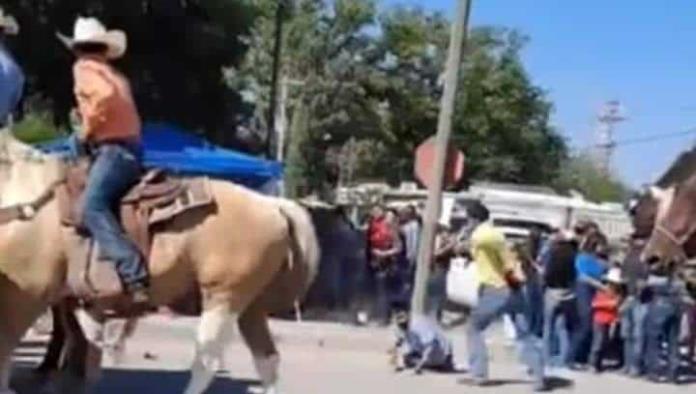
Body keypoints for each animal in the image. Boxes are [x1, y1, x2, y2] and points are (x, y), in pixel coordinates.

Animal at [0, 133, 320, 394]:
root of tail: (273, 204)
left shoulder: (28, 295)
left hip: (224, 297)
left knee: (207, 361)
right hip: (250, 307)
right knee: (267, 360)